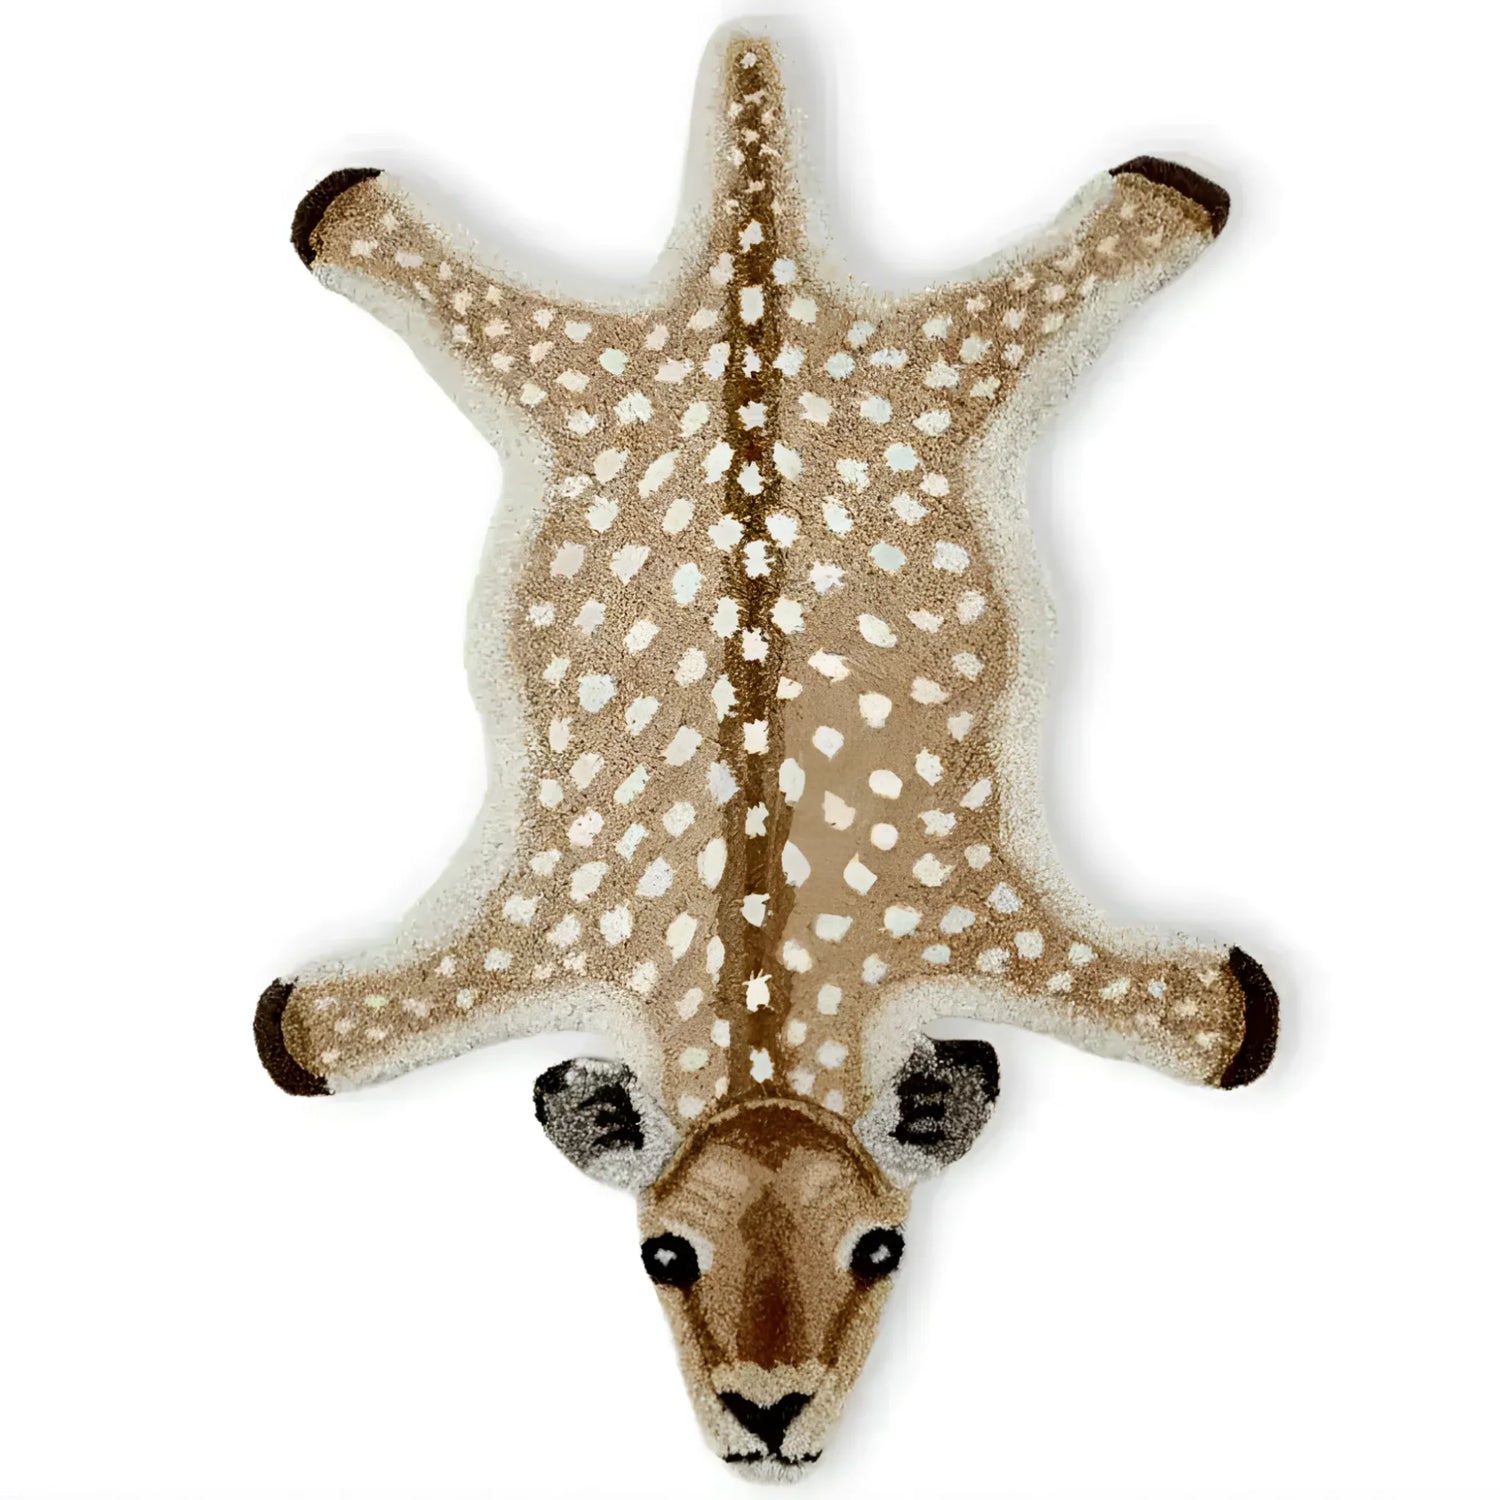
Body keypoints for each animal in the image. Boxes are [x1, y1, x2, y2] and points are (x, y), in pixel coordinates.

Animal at [256, 27, 1279, 1477]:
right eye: (663, 1255)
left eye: (883, 1247)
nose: (769, 1414)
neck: (759, 994)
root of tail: (753, 263)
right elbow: (320, 1032)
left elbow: (1208, 1020)